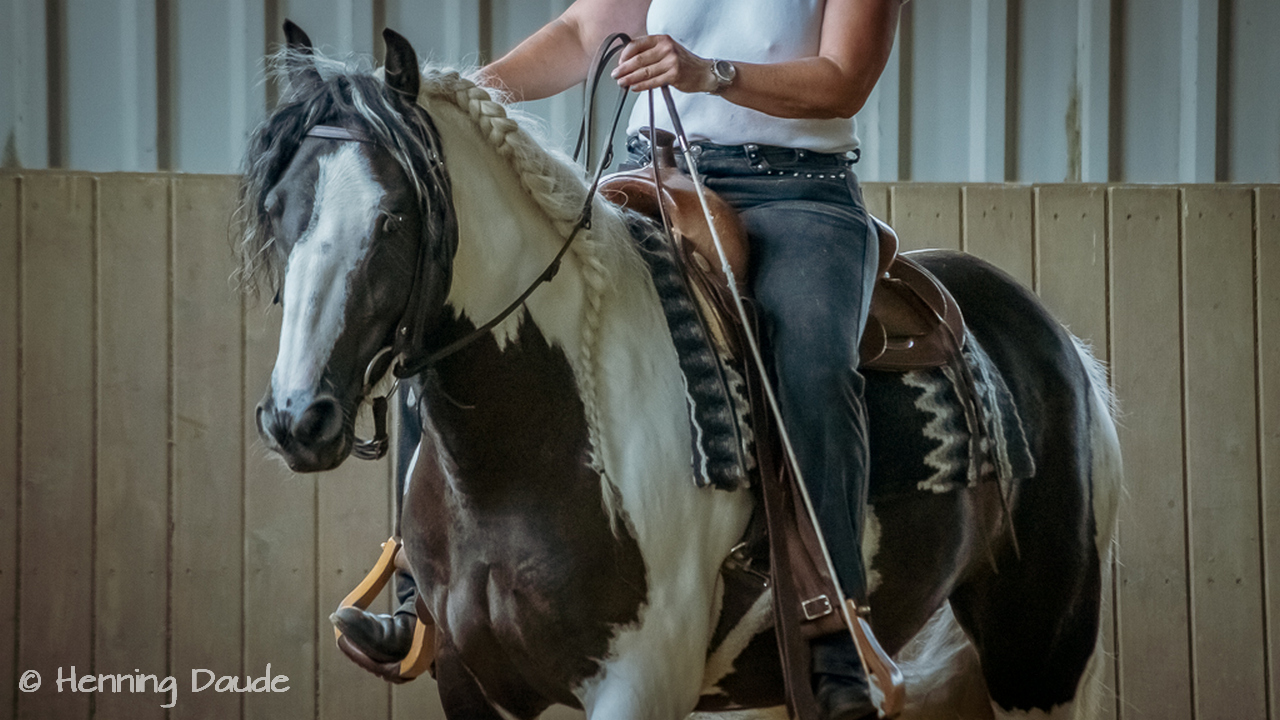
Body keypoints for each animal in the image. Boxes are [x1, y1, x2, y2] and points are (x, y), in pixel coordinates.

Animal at [240, 24, 1122, 720]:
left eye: (393, 217)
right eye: (278, 211)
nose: (296, 420)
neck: (540, 437)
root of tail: (1061, 348)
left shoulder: (639, 682)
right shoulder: (470, 686)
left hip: (1041, 660)